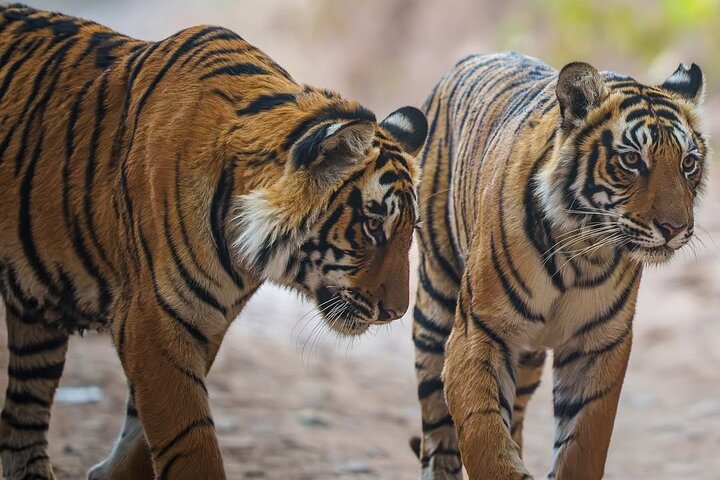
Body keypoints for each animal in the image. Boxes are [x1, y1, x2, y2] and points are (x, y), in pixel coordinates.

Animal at [0, 4, 429, 480]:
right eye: (372, 225)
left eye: (409, 231)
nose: (395, 313)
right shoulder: (153, 320)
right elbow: (191, 442)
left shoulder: (202, 324)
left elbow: (142, 435)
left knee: (24, 415)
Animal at [410, 52, 706, 479]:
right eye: (632, 159)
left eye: (688, 163)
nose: (674, 228)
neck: (583, 253)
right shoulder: (479, 331)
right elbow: (484, 436)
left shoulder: (599, 343)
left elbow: (582, 444)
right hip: (436, 301)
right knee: (437, 425)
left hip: (527, 354)